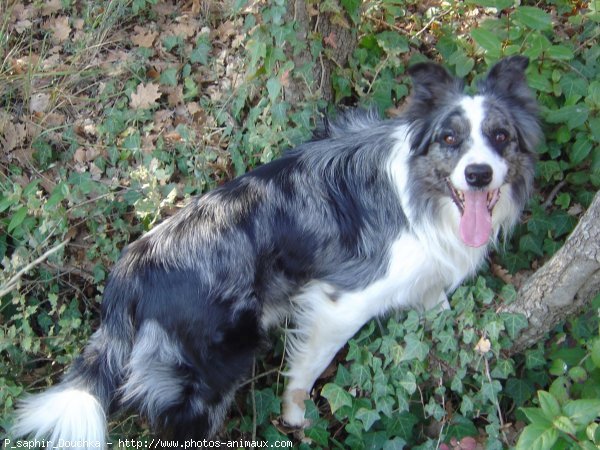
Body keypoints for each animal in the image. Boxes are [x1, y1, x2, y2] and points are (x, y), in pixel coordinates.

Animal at [12, 55, 540, 442]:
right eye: (450, 138)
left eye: (500, 136)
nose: (478, 175)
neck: (423, 195)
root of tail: (130, 271)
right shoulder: (343, 302)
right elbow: (308, 368)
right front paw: (294, 417)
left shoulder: (426, 277)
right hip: (211, 367)